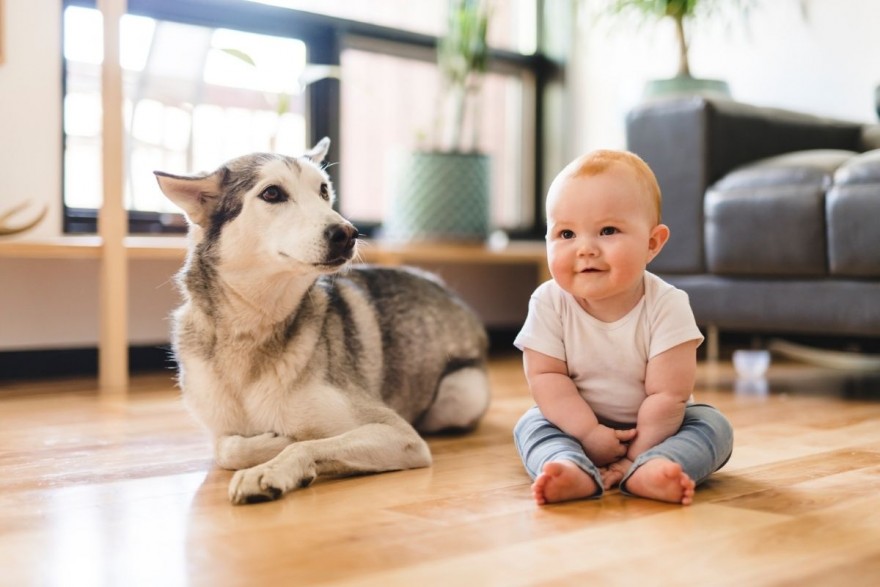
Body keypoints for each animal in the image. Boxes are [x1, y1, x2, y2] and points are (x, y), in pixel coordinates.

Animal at [155, 139, 492, 506]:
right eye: (272, 193)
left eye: (323, 191)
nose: (348, 232)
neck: (254, 329)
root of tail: (444, 286)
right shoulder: (220, 430)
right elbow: (226, 448)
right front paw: (272, 443)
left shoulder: (400, 435)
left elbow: (306, 444)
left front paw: (272, 465)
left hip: (460, 395)